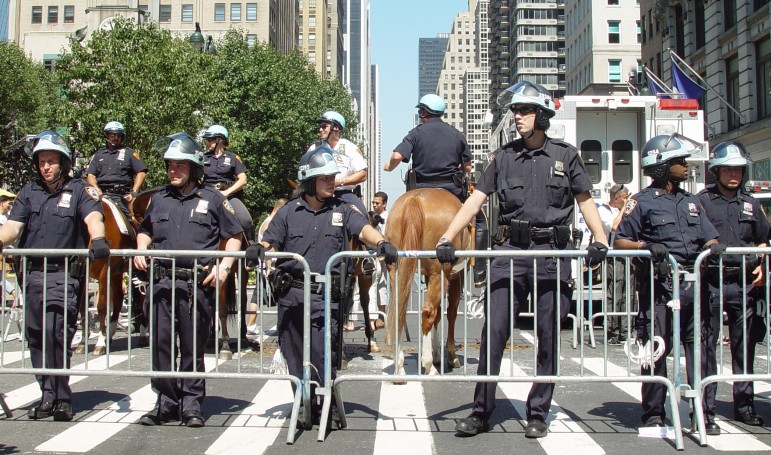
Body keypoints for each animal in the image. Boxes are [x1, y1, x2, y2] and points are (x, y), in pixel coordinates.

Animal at [386, 189, 470, 378]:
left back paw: (399, 366)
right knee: (428, 312)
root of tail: (416, 199)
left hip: (397, 270)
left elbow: (439, 315)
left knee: (399, 310)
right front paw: (450, 357)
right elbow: (450, 313)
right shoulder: (456, 277)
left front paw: (437, 352)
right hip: (441, 273)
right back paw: (428, 365)